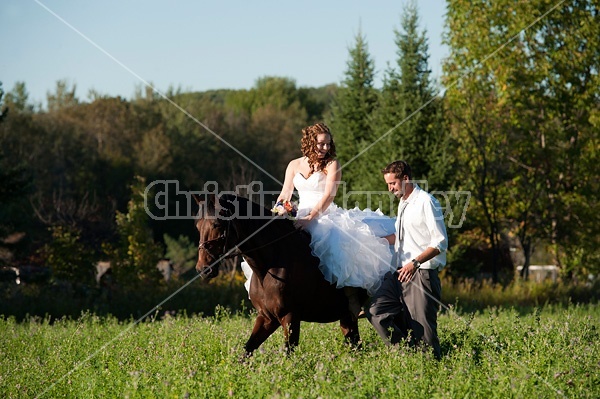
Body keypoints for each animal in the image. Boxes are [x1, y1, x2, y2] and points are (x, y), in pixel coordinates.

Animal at [196, 194, 360, 356]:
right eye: (197, 225)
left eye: (217, 224)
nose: (203, 269)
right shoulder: (267, 318)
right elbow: (247, 350)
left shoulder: (290, 317)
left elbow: (288, 353)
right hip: (347, 318)